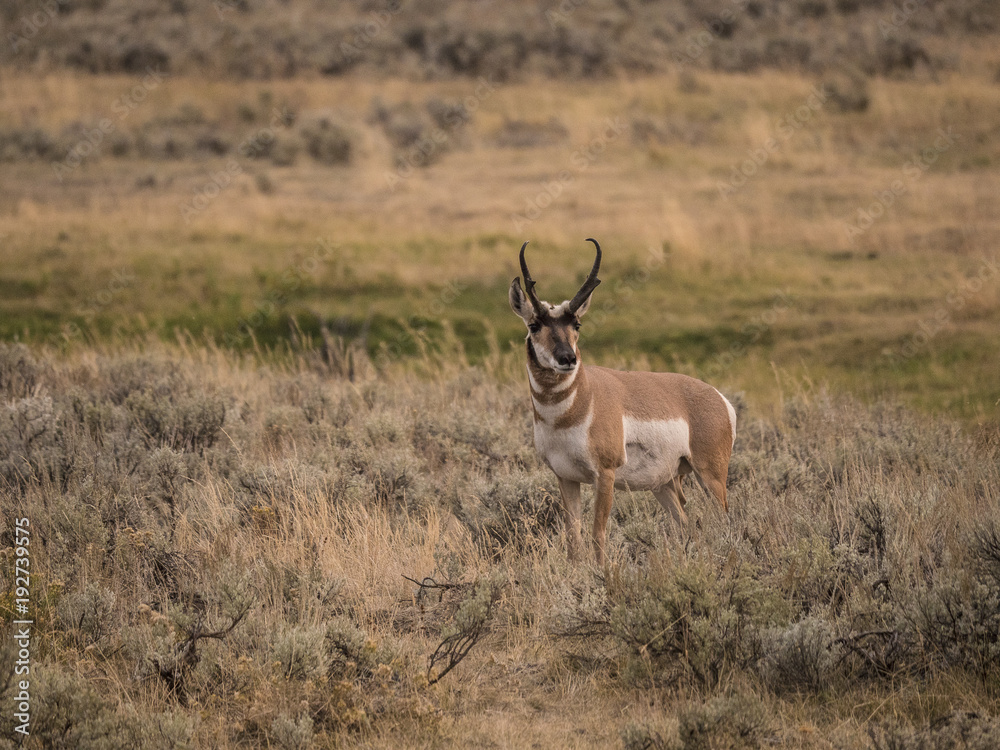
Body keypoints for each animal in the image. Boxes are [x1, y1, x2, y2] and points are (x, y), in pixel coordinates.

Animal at [509, 239, 737, 565]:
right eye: (534, 325)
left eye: (577, 324)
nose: (568, 358)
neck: (572, 409)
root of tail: (718, 398)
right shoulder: (566, 478)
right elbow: (573, 539)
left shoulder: (605, 475)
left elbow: (597, 534)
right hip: (664, 484)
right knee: (685, 523)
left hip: (711, 477)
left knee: (724, 523)